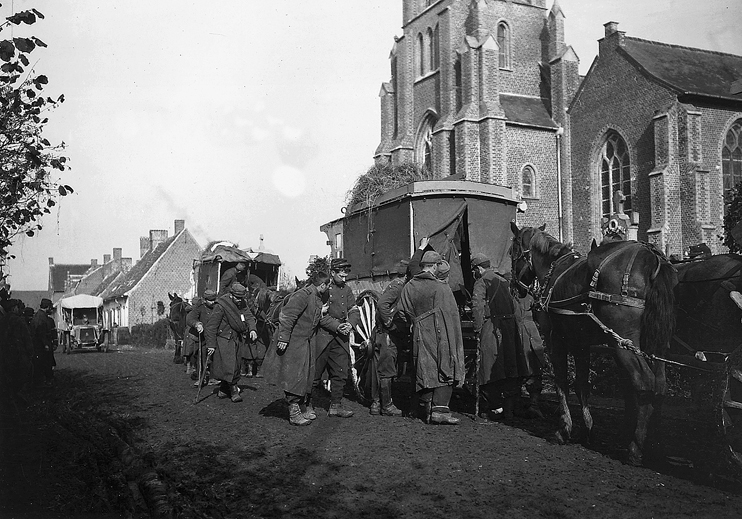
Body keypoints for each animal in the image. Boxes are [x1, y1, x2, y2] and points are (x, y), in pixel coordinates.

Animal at [512, 221, 680, 466]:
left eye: (512, 250)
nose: (514, 286)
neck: (553, 271)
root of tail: (652, 258)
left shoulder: (556, 340)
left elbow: (562, 382)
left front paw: (564, 429)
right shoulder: (581, 343)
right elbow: (582, 383)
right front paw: (587, 429)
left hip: (623, 344)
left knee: (644, 382)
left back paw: (635, 448)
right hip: (656, 345)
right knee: (659, 385)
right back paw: (653, 443)